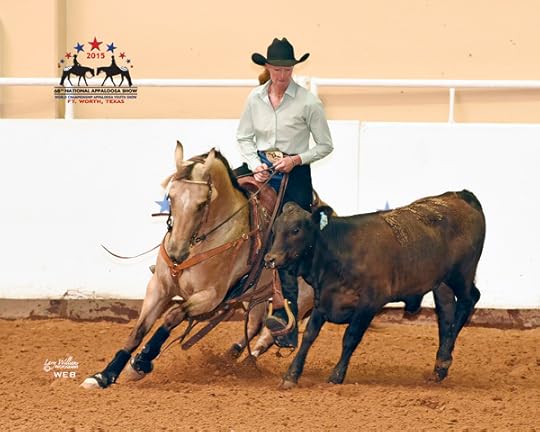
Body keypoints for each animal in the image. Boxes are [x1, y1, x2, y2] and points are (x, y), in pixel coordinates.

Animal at [81, 142, 314, 389]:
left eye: (202, 204)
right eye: (170, 196)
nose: (176, 252)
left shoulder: (210, 296)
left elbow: (173, 315)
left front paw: (141, 362)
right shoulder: (158, 286)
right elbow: (138, 330)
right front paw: (104, 375)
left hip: (301, 299)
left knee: (271, 332)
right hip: (257, 295)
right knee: (255, 324)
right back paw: (233, 355)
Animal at [264, 190, 486, 388]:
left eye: (296, 230)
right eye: (275, 229)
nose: (270, 259)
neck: (339, 252)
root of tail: (460, 195)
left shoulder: (369, 303)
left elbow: (350, 337)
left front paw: (336, 375)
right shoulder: (323, 299)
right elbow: (309, 335)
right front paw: (291, 375)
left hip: (462, 274)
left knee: (468, 301)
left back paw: (445, 359)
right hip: (442, 283)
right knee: (446, 312)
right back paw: (440, 366)